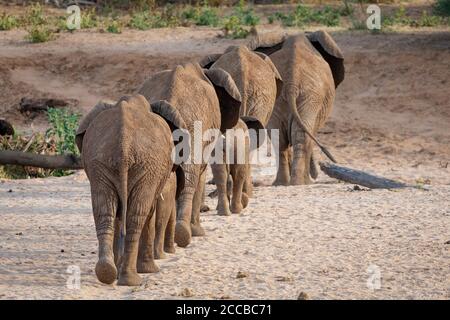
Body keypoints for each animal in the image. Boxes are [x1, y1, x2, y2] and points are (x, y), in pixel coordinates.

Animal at [76, 94, 185, 284]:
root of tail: (123, 145)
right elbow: (149, 211)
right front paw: (148, 271)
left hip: (102, 162)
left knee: (104, 211)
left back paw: (107, 273)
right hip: (145, 166)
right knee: (137, 215)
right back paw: (131, 279)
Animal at [248, 30, 346, 185]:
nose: (316, 174)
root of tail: (291, 83)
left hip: (282, 94)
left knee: (279, 136)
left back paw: (282, 183)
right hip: (312, 95)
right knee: (302, 134)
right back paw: (301, 182)